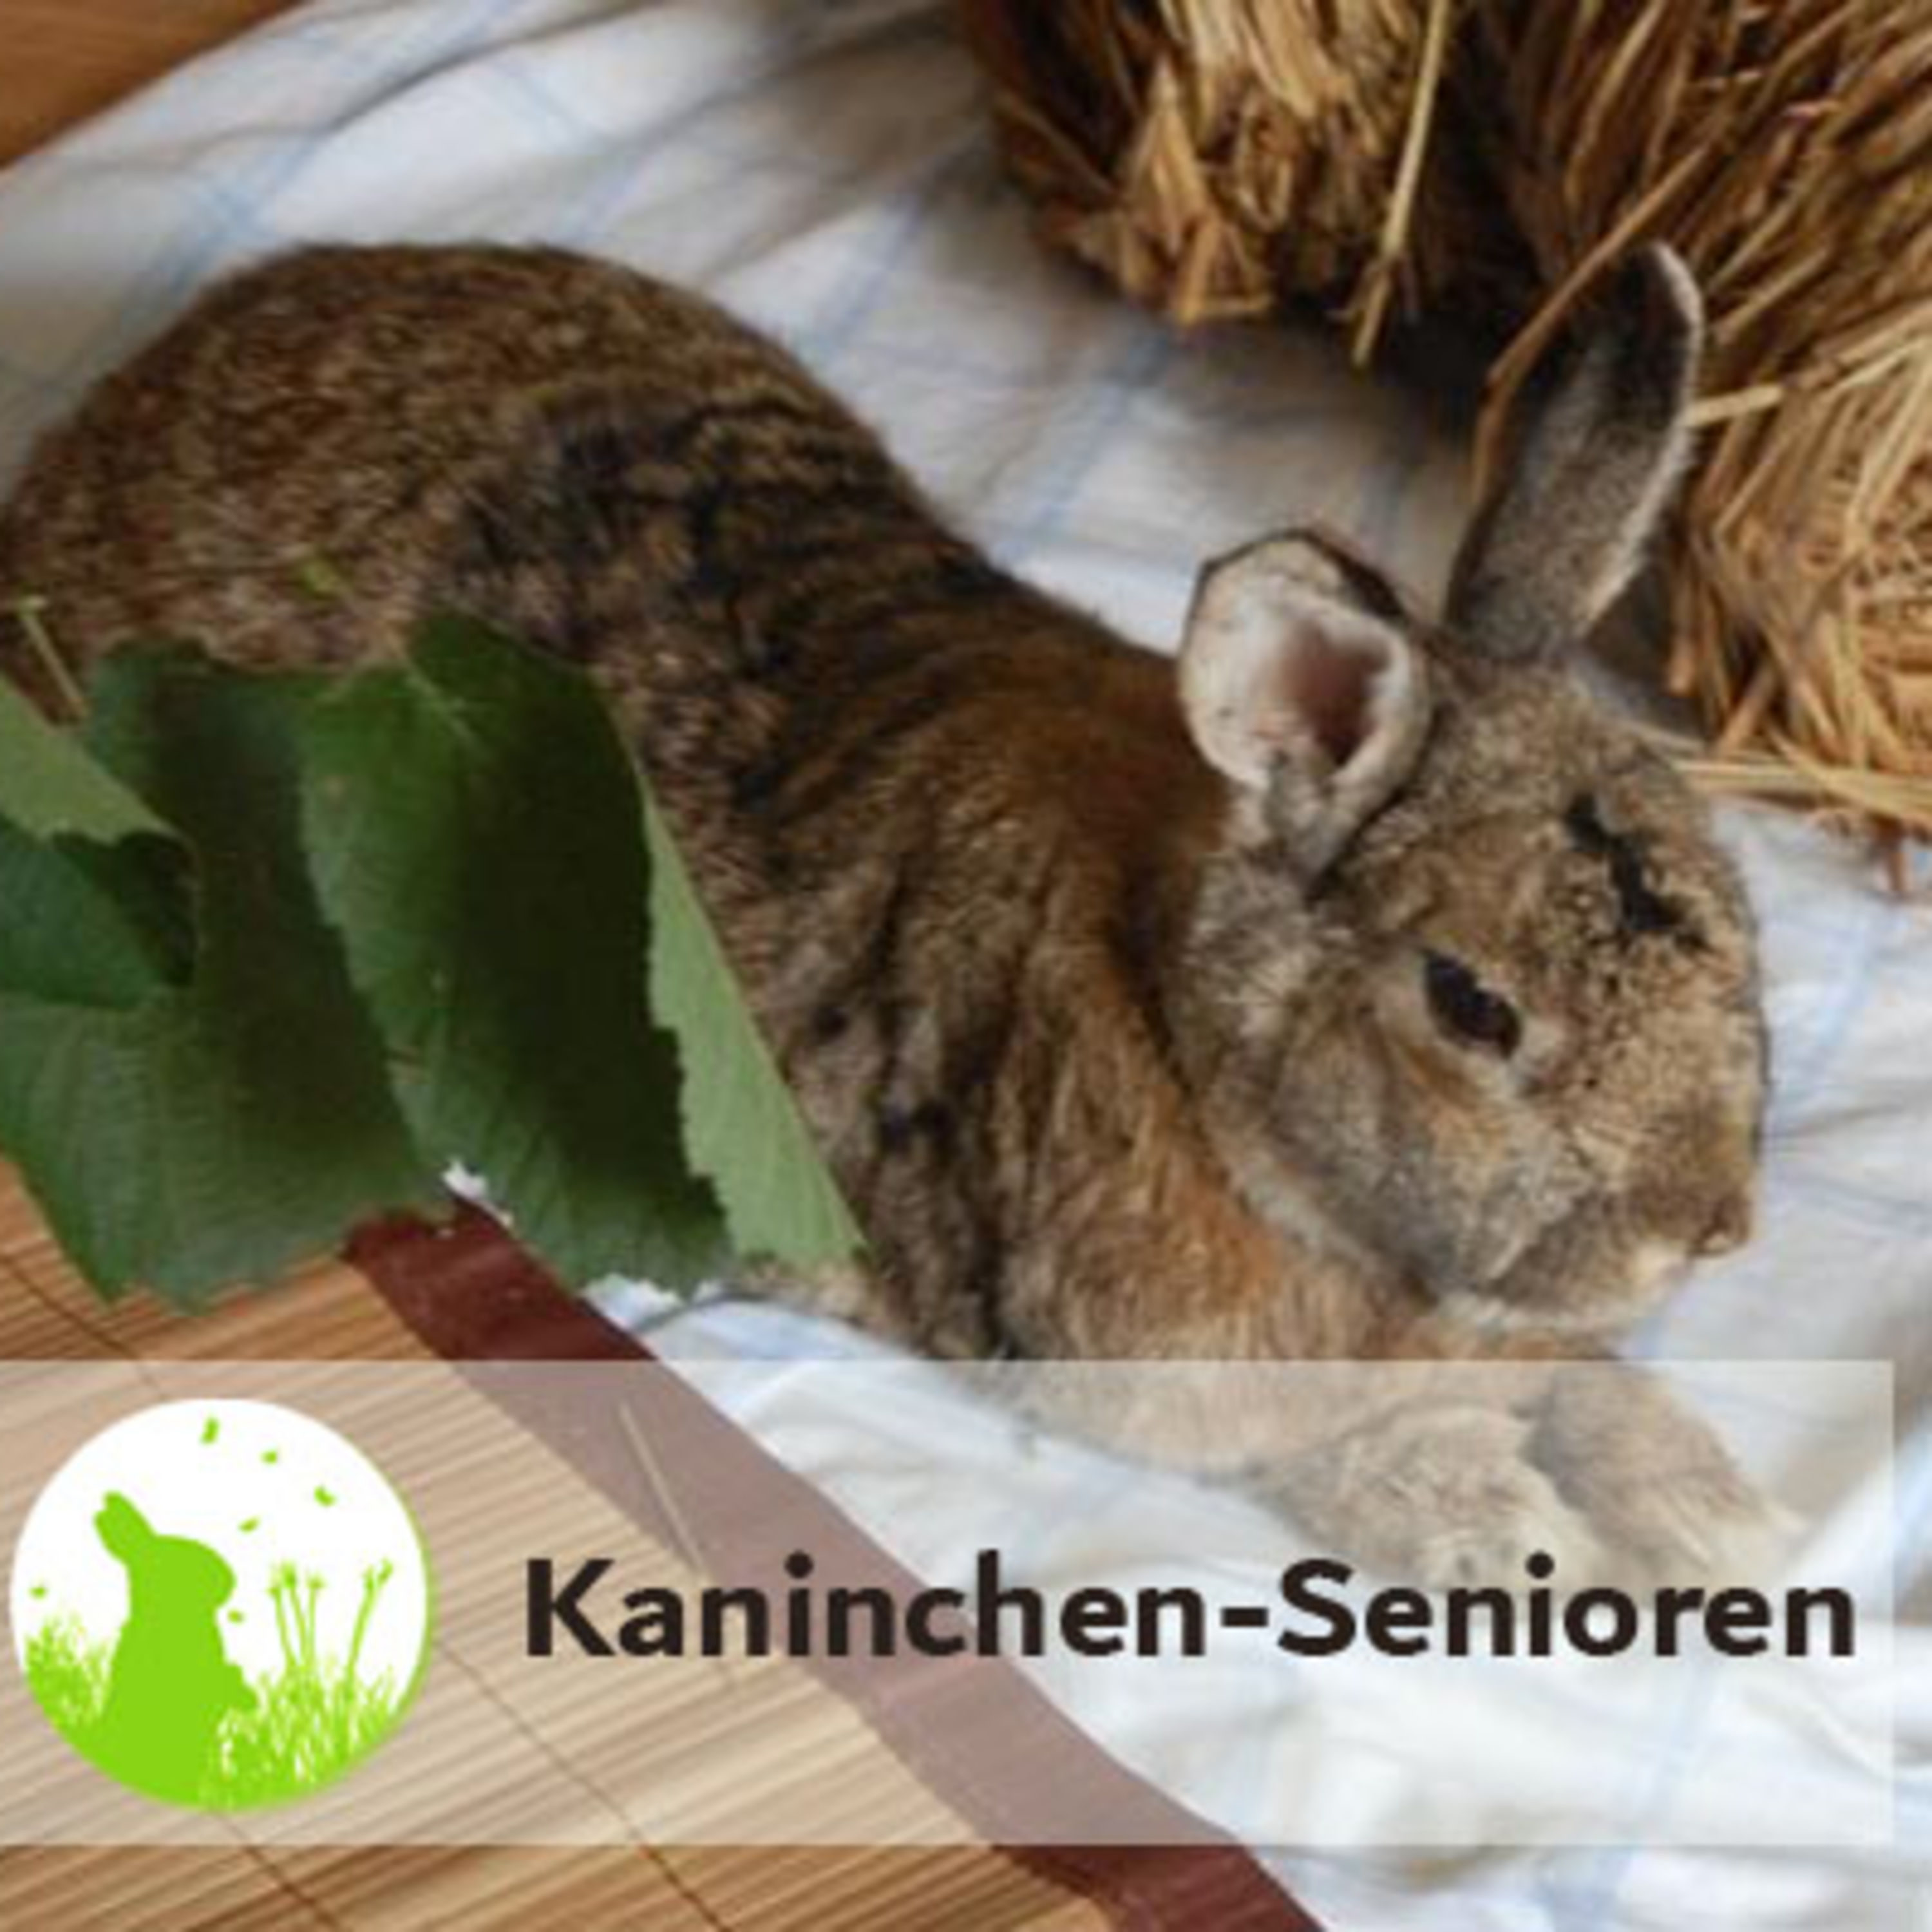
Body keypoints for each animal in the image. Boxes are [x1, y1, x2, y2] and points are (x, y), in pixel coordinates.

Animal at [0, 242, 1770, 1585]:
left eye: (1740, 913)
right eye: (1470, 1004)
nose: (1709, 1226)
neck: (1188, 1034)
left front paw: (1701, 1509)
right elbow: (1345, 1446)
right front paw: (1514, 1532)